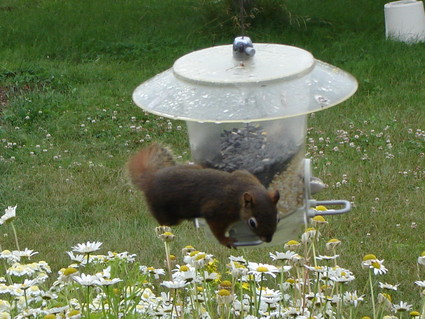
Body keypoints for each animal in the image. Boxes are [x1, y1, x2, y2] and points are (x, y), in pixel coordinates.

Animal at [126, 144, 278, 249]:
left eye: (277, 216)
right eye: (252, 223)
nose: (268, 239)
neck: (240, 191)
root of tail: (150, 180)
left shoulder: (244, 175)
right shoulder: (218, 211)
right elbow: (217, 229)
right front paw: (226, 241)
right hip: (165, 212)